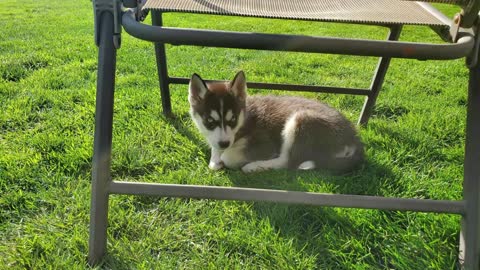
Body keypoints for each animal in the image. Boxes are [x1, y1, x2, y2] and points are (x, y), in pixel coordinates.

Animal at [188, 71, 364, 173]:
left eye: (233, 119)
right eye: (210, 121)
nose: (224, 143)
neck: (244, 121)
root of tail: (354, 137)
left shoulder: (265, 145)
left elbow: (228, 157)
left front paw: (225, 158)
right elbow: (214, 152)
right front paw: (215, 158)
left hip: (299, 120)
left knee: (287, 162)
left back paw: (253, 167)